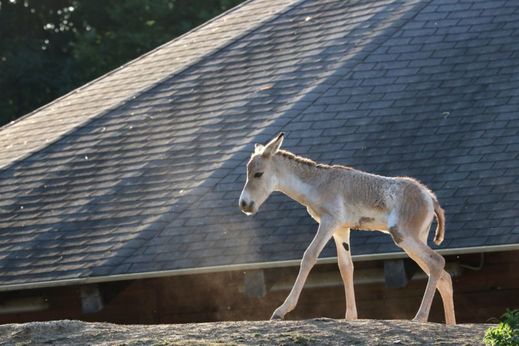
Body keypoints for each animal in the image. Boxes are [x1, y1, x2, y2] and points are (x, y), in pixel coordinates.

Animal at [239, 132, 456, 324]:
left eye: (258, 174)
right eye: (247, 172)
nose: (244, 204)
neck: (320, 183)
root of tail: (430, 197)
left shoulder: (329, 222)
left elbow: (309, 256)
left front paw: (281, 311)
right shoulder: (341, 229)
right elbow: (346, 267)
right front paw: (351, 316)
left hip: (405, 237)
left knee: (437, 262)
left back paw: (420, 318)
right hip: (413, 241)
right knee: (443, 277)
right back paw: (450, 323)